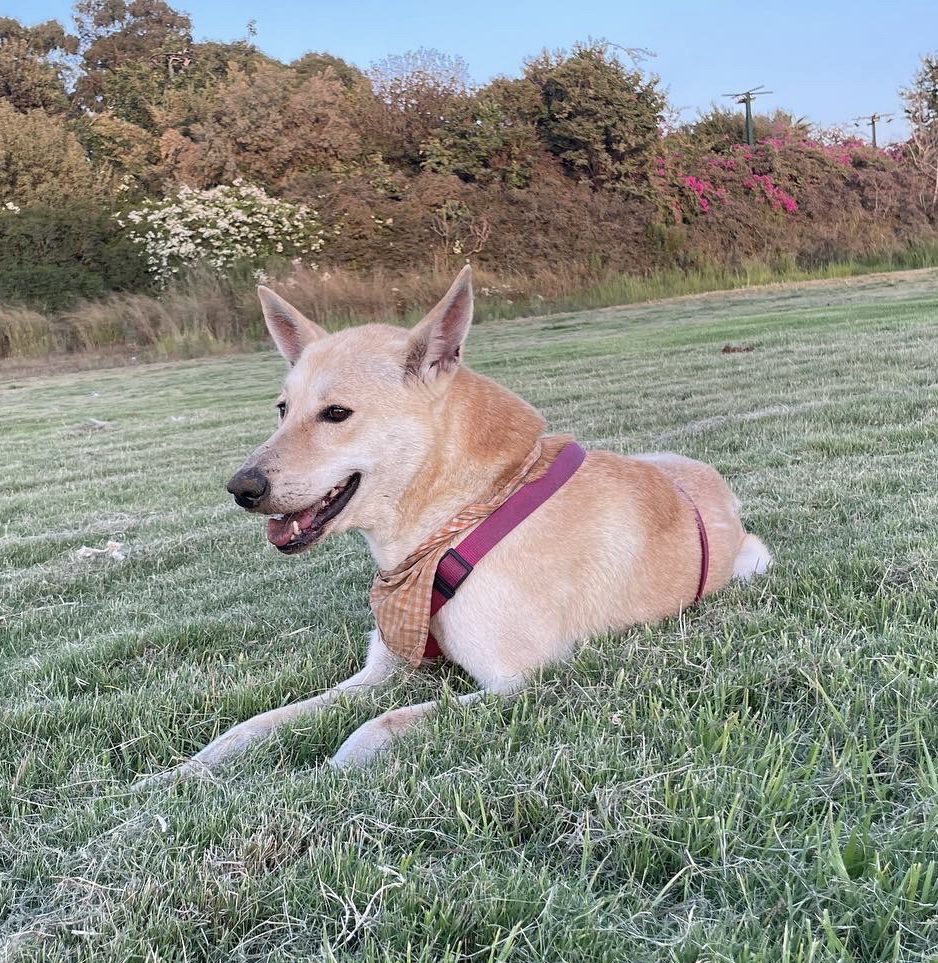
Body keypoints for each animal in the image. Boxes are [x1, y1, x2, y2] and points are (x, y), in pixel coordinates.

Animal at [145, 266, 770, 781]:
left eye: (336, 414)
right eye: (281, 410)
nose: (241, 489)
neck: (455, 524)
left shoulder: (521, 681)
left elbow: (377, 727)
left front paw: (324, 771)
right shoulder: (379, 673)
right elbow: (255, 723)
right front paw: (181, 773)